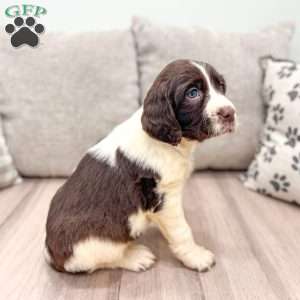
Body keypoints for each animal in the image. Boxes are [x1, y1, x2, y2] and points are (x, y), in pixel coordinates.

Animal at [45, 59, 237, 274]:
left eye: (221, 85)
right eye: (193, 93)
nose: (230, 113)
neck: (169, 143)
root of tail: (51, 254)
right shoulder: (164, 198)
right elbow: (182, 230)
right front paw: (196, 257)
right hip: (99, 239)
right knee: (101, 260)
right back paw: (135, 256)